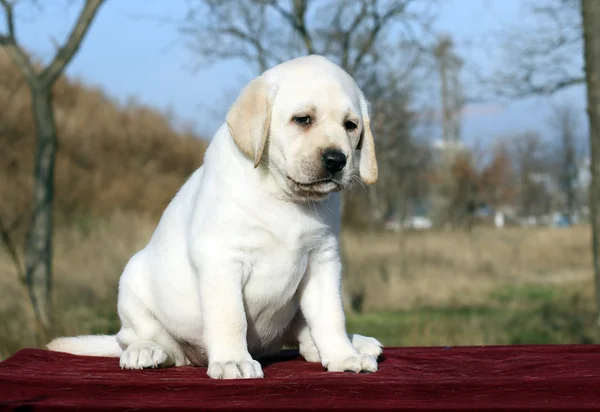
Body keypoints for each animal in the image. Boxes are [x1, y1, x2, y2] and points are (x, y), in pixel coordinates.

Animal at [49, 54, 382, 380]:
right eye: (302, 119)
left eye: (351, 125)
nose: (337, 160)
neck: (284, 197)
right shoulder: (221, 258)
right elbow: (231, 317)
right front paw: (234, 361)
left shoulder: (322, 259)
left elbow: (331, 316)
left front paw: (343, 356)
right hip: (133, 284)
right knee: (137, 339)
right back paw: (145, 351)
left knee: (304, 336)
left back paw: (356, 344)